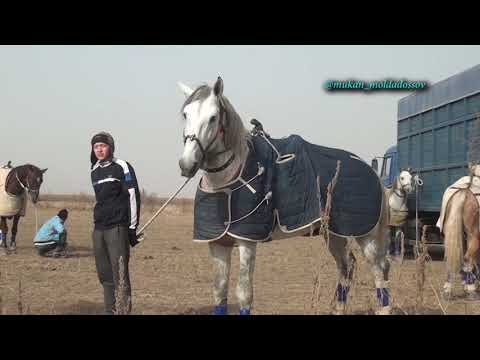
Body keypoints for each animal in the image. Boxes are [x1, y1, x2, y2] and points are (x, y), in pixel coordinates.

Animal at [178, 76, 392, 316]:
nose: (187, 164)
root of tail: (371, 171)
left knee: (378, 269)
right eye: (185, 114)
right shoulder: (217, 243)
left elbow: (244, 293)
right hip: (335, 233)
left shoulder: (247, 242)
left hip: (367, 235)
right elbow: (219, 292)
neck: (228, 181)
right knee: (347, 266)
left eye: (213, 117)